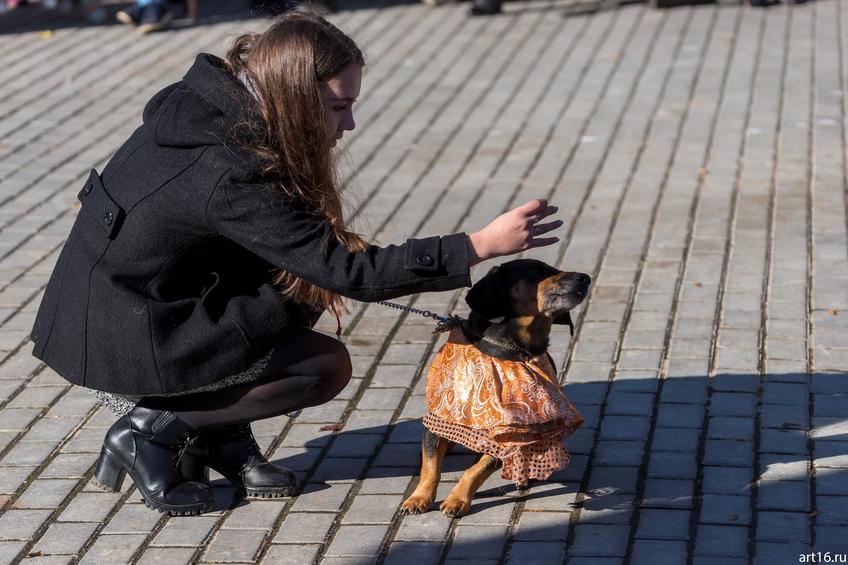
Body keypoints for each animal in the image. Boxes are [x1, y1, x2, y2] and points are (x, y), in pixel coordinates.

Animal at [400, 258, 588, 516]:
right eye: (537, 270)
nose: (586, 277)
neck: (509, 350)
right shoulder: (437, 418)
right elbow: (431, 466)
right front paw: (419, 497)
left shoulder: (507, 436)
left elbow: (477, 469)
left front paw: (458, 499)